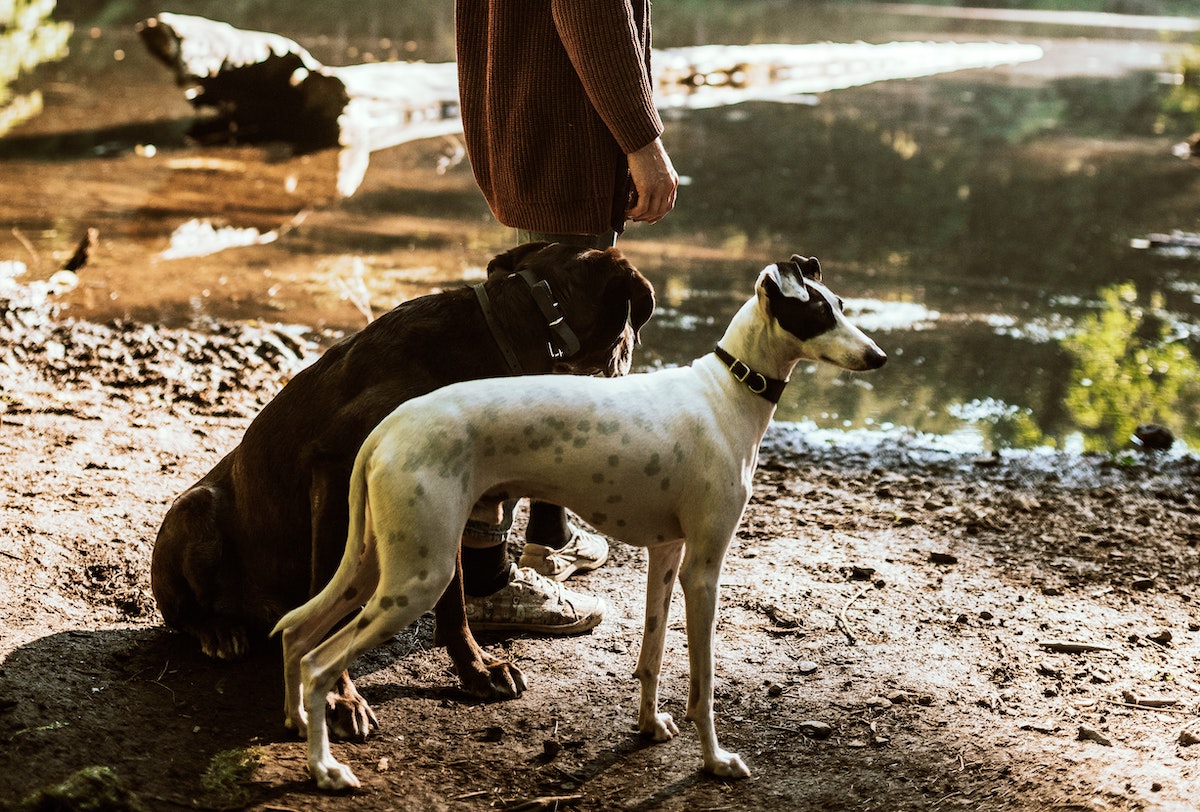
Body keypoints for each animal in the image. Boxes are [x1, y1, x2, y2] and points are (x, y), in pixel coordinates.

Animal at [154, 241, 657, 734]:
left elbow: (454, 600)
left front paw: (477, 669)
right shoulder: (337, 476)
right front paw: (339, 698)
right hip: (194, 509)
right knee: (180, 612)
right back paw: (219, 631)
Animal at [276, 253, 888, 786]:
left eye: (841, 304)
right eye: (817, 314)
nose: (879, 357)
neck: (725, 393)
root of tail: (390, 425)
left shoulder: (666, 555)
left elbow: (652, 653)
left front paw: (649, 726)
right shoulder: (703, 570)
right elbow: (704, 682)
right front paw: (715, 761)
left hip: (373, 565)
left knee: (296, 634)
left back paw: (298, 724)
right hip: (418, 577)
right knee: (320, 661)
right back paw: (326, 770)